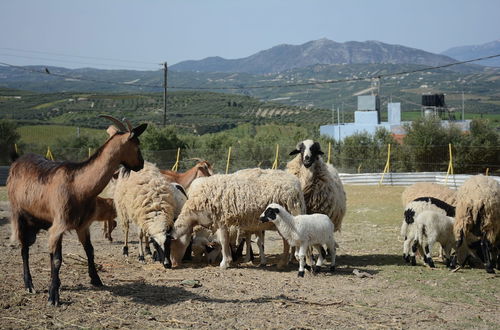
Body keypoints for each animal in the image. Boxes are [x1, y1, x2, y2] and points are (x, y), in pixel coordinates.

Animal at [7, 116, 146, 306]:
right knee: (24, 250)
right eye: (137, 144)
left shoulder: (82, 225)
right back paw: (29, 285)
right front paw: (53, 296)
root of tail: (16, 161)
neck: (78, 186)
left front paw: (96, 279)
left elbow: (89, 250)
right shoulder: (58, 224)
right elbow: (56, 259)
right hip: (19, 215)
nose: (141, 165)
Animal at [170, 168, 306, 268]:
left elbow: (223, 241)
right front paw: (230, 260)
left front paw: (225, 263)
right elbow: (227, 241)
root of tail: (296, 184)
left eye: (172, 244)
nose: (174, 263)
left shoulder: (221, 220)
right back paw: (284, 262)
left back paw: (287, 262)